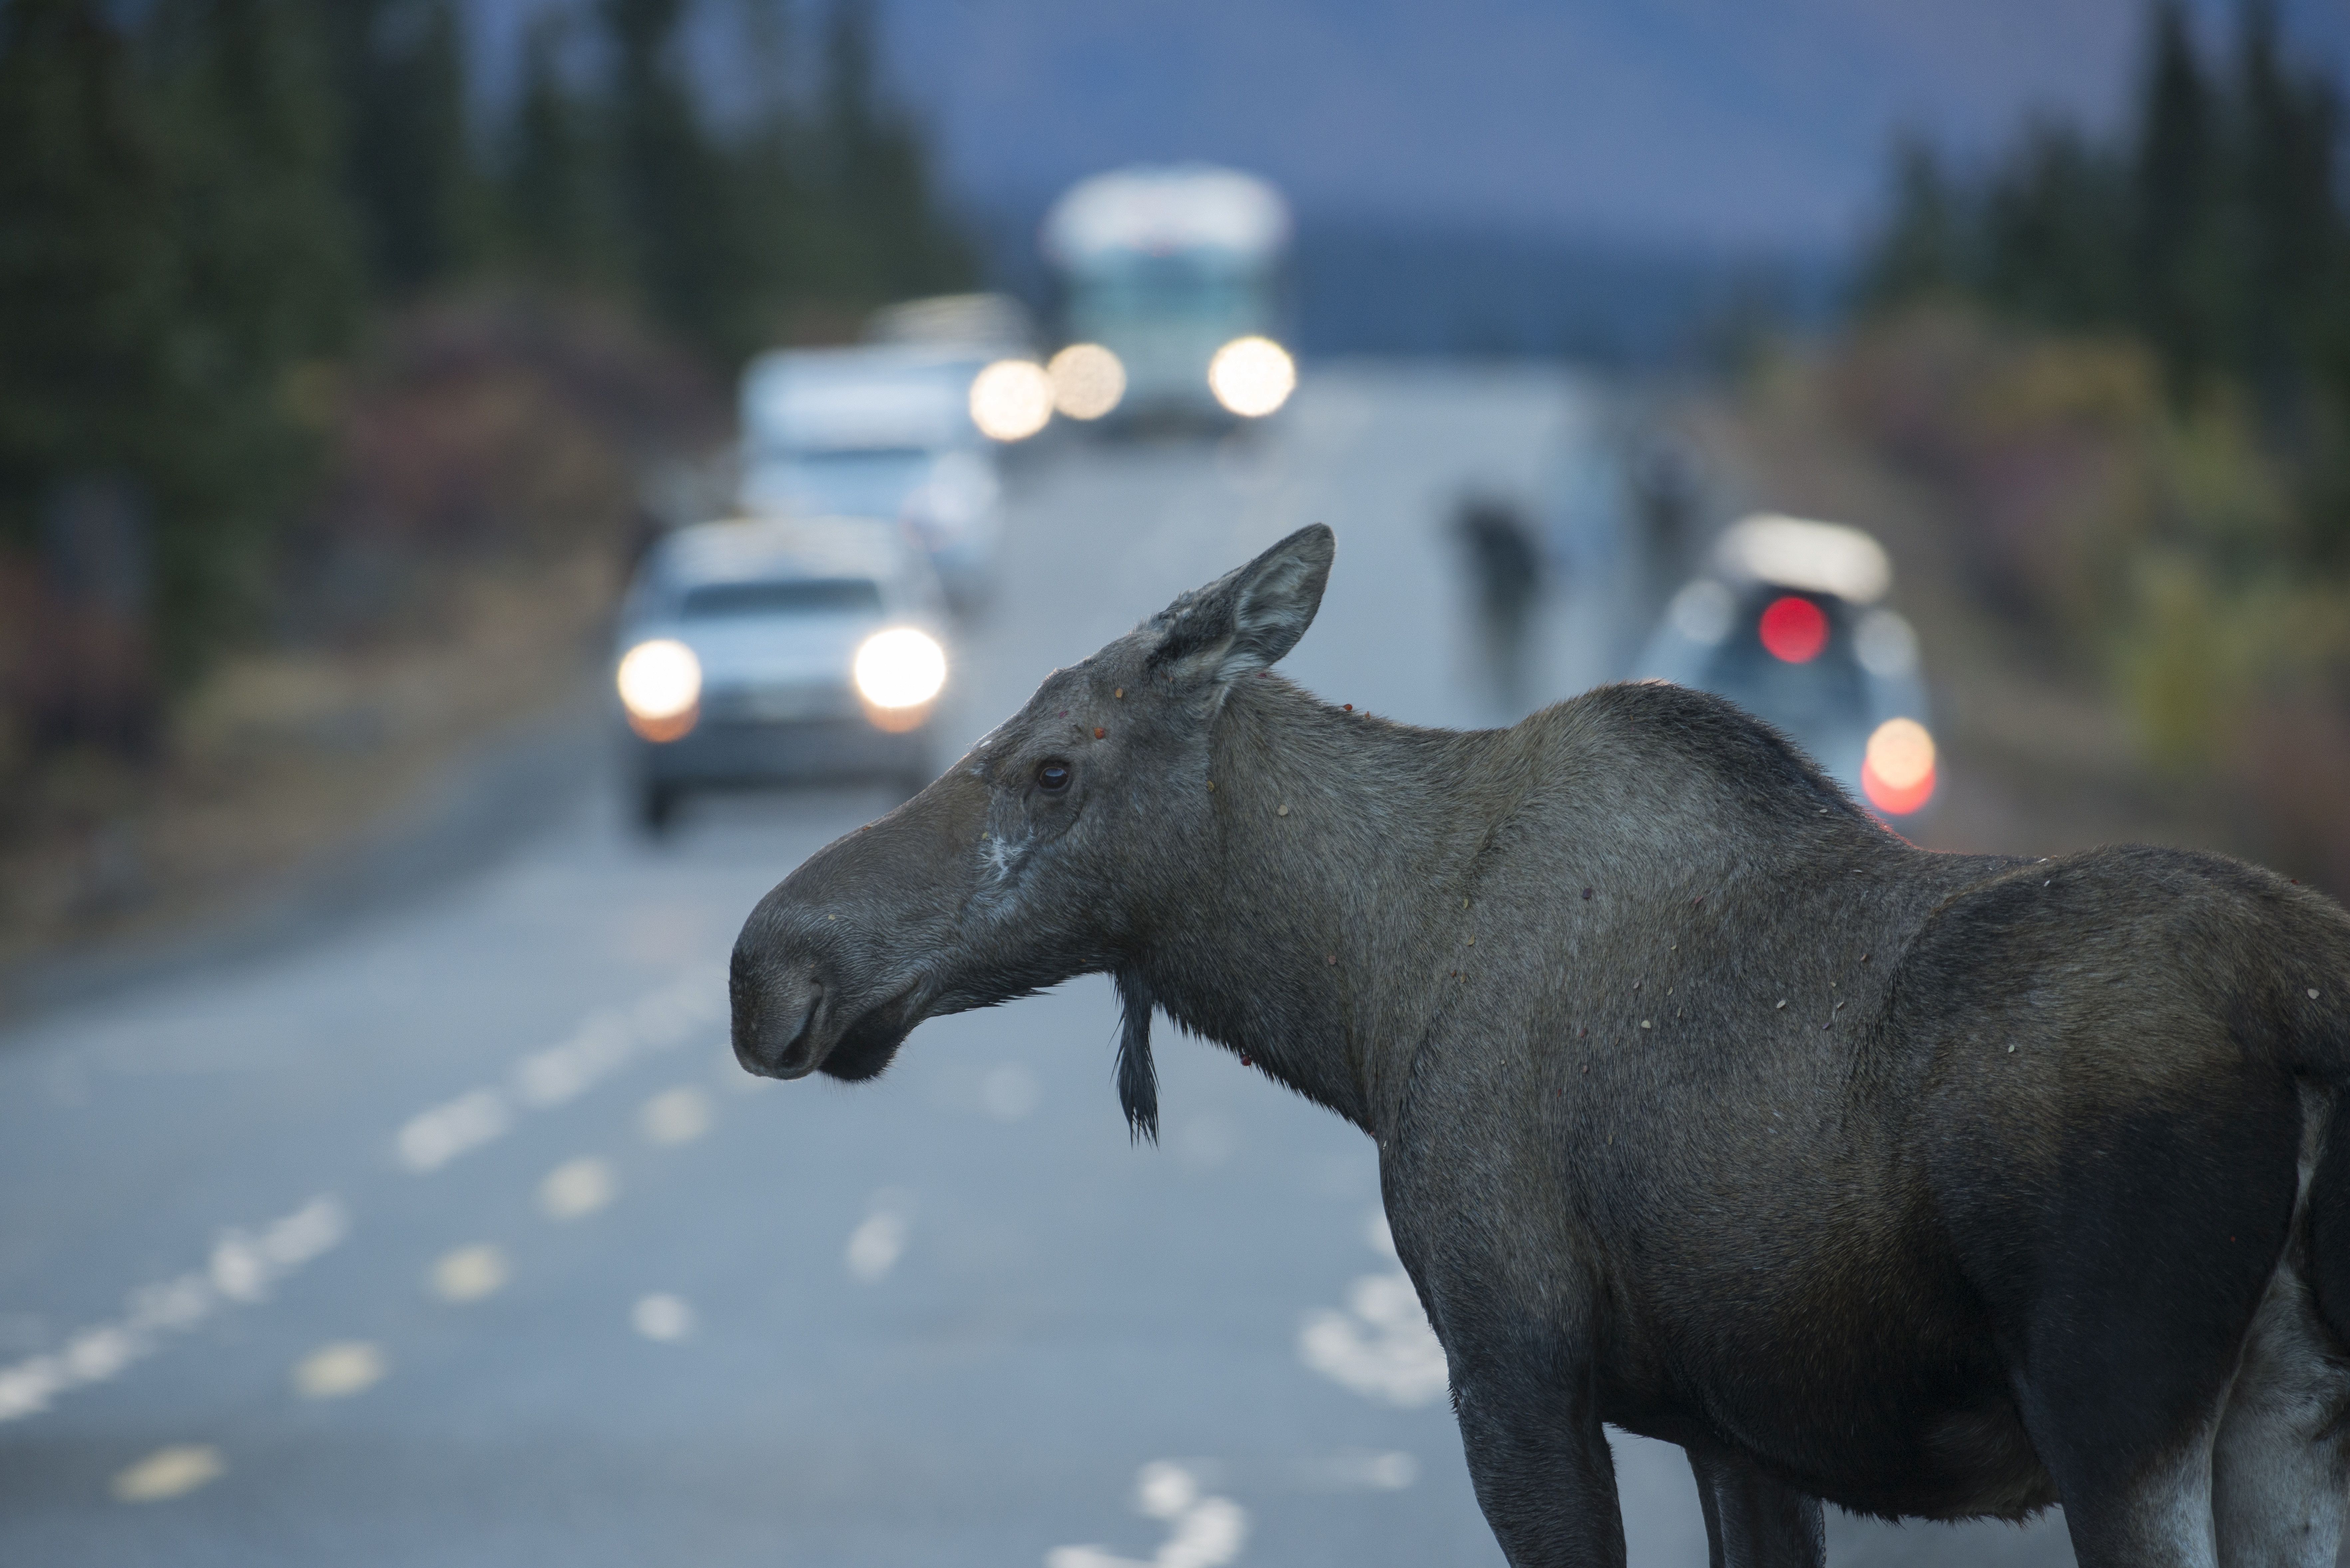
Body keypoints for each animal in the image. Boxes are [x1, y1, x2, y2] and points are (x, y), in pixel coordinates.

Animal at [728, 526, 2350, 1568]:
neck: (1359, 992)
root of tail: (2304, 1003)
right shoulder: (1735, 1428)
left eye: (1055, 767)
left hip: (2116, 1404)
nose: (766, 965)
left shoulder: (1511, 1364)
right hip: (2289, 1418)